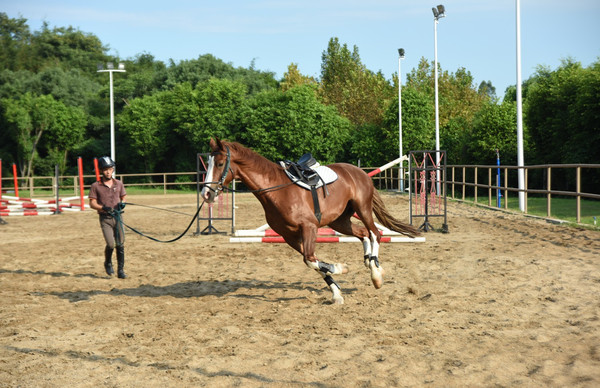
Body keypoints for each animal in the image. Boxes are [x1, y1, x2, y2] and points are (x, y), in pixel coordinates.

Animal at [199, 138, 420, 304]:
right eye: (207, 163)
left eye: (220, 164)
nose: (206, 194)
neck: (276, 191)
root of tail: (359, 172)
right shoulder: (289, 236)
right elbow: (313, 262)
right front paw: (337, 292)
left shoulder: (309, 228)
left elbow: (311, 259)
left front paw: (340, 268)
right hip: (339, 221)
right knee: (364, 234)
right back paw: (370, 262)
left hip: (362, 209)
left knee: (375, 233)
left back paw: (376, 273)